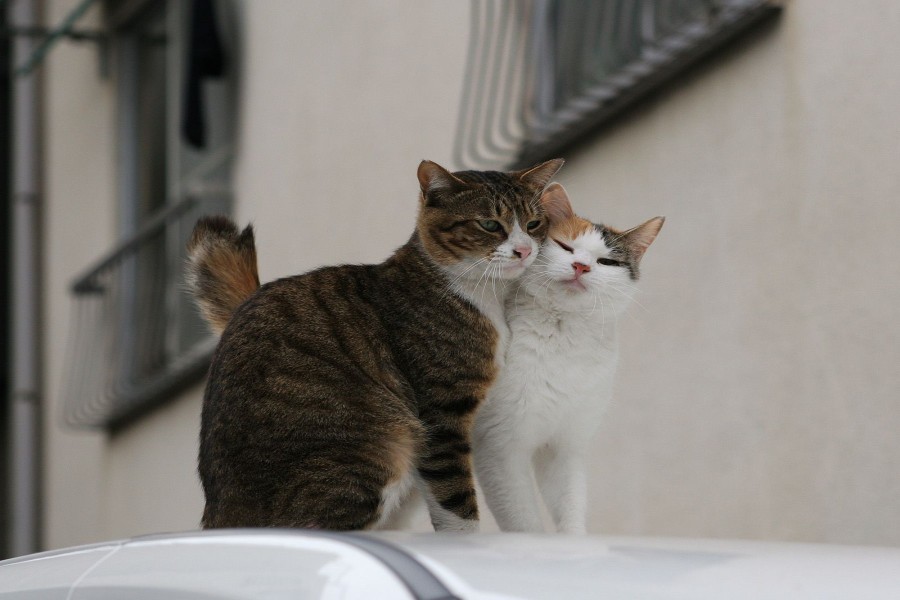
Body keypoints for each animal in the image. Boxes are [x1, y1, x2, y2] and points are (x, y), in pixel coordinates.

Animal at [185, 158, 560, 528]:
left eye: (534, 223)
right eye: (490, 224)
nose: (525, 250)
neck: (482, 294)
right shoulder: (442, 415)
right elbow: (456, 503)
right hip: (375, 453)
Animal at [472, 183, 660, 536]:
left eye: (606, 261)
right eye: (565, 246)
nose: (581, 267)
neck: (563, 336)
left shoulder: (564, 446)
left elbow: (570, 501)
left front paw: (573, 540)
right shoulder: (499, 446)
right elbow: (523, 519)